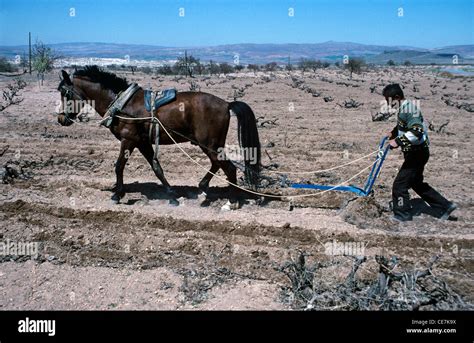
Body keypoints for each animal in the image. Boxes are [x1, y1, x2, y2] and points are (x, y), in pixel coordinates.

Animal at [57, 66, 262, 207]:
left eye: (65, 93)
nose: (60, 119)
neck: (122, 104)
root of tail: (226, 103)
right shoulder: (142, 143)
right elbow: (157, 168)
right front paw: (171, 195)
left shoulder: (128, 140)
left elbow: (119, 166)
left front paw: (117, 194)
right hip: (209, 144)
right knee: (217, 164)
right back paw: (203, 188)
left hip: (209, 144)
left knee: (228, 168)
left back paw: (232, 202)